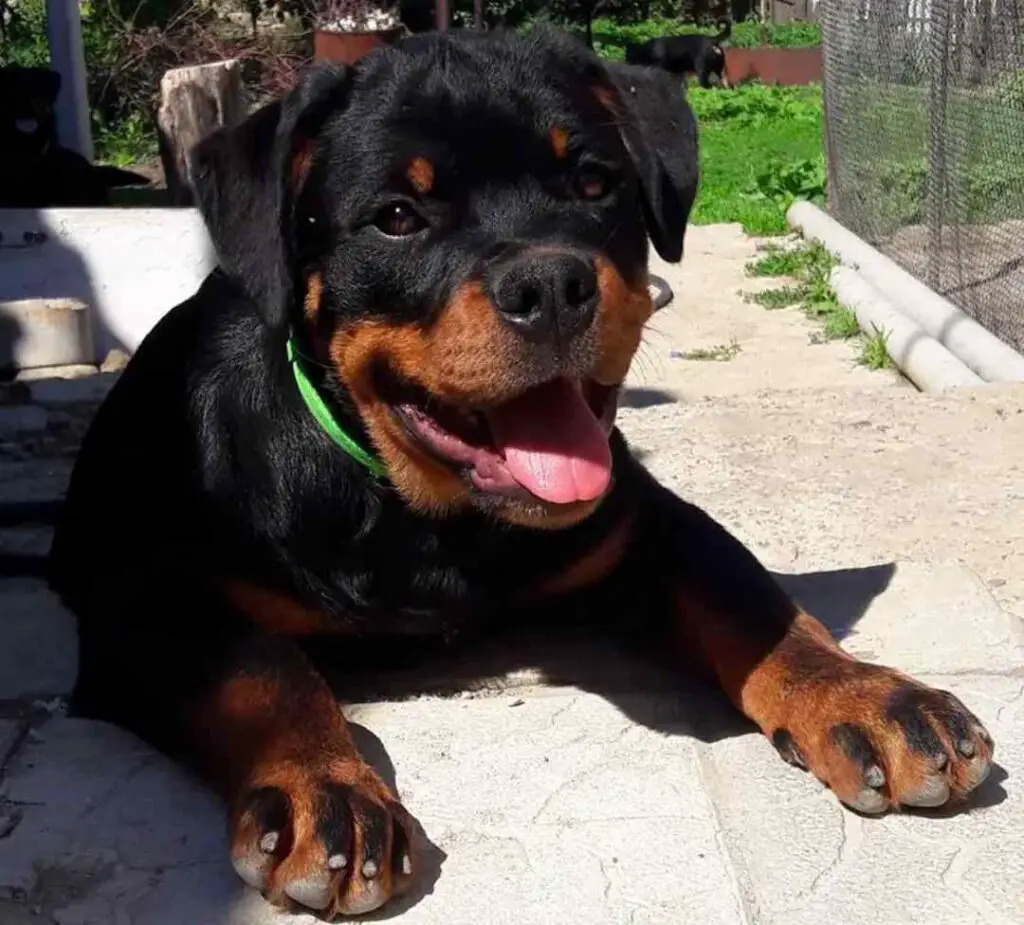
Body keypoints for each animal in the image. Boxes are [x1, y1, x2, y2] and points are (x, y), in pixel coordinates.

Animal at [48, 27, 991, 917]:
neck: (424, 516)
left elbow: (749, 597)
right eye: (397, 216)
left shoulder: (645, 519)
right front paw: (324, 786)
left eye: (595, 184)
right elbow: (263, 669)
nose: (550, 284)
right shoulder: (146, 597)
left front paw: (865, 696)